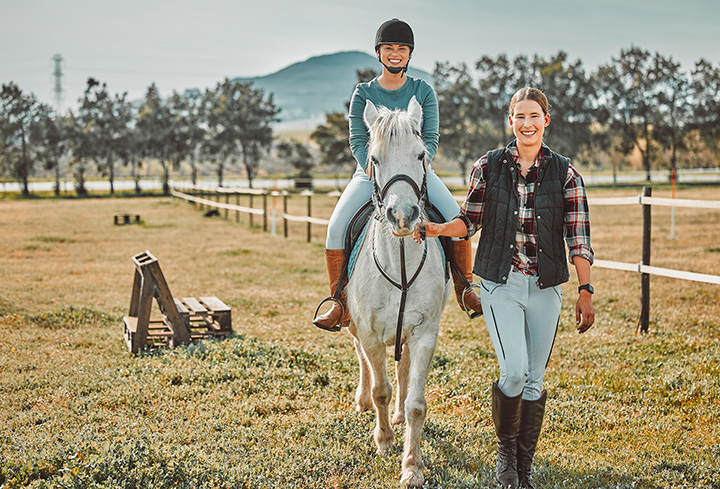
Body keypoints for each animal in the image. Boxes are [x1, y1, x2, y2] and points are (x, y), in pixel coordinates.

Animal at [346, 95, 452, 484]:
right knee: (363, 359)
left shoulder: (424, 333)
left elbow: (417, 403)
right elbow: (381, 389)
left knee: (403, 369)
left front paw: (412, 467)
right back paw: (363, 402)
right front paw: (384, 441)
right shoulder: (370, 331)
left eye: (421, 154)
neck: (400, 264)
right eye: (374, 159)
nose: (403, 215)